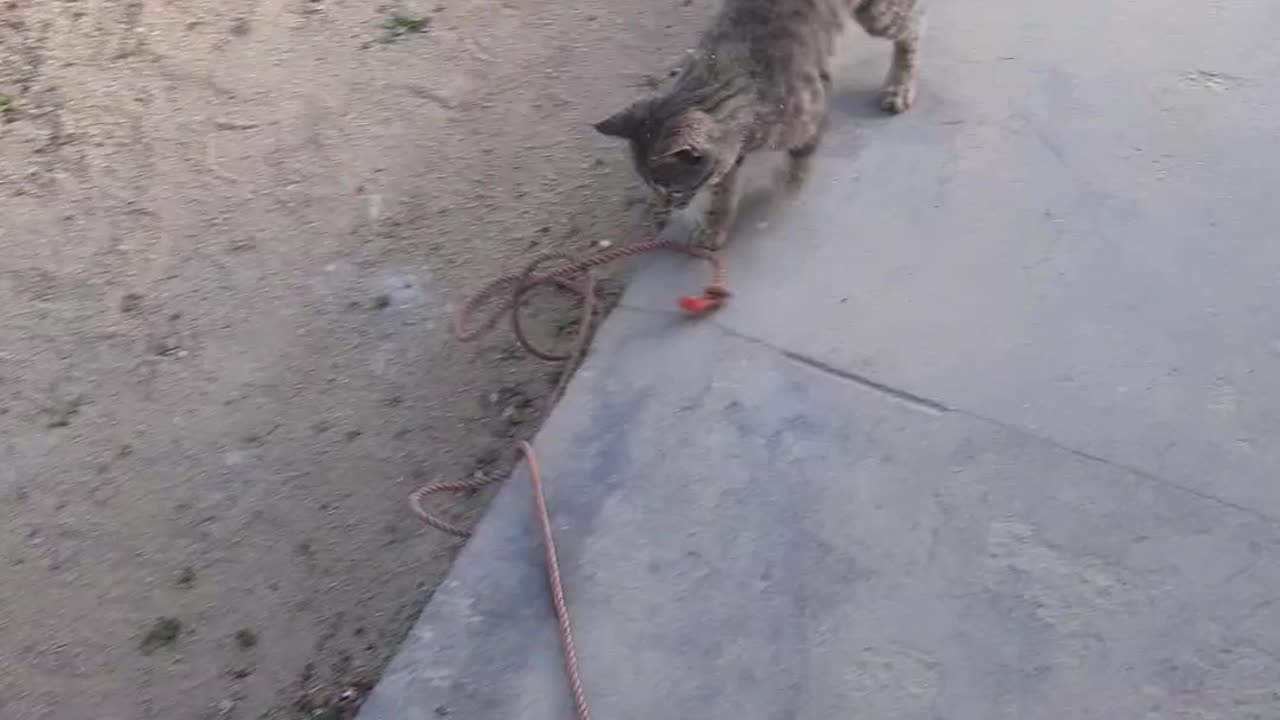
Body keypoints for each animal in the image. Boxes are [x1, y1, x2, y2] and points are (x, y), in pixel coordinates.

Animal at [593, 0, 926, 249]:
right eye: (652, 186)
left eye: (670, 190)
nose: (663, 211)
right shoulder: (728, 156)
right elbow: (723, 192)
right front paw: (715, 228)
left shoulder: (813, 106)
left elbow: (801, 158)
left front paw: (791, 183)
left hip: (877, 13)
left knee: (912, 28)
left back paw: (899, 85)